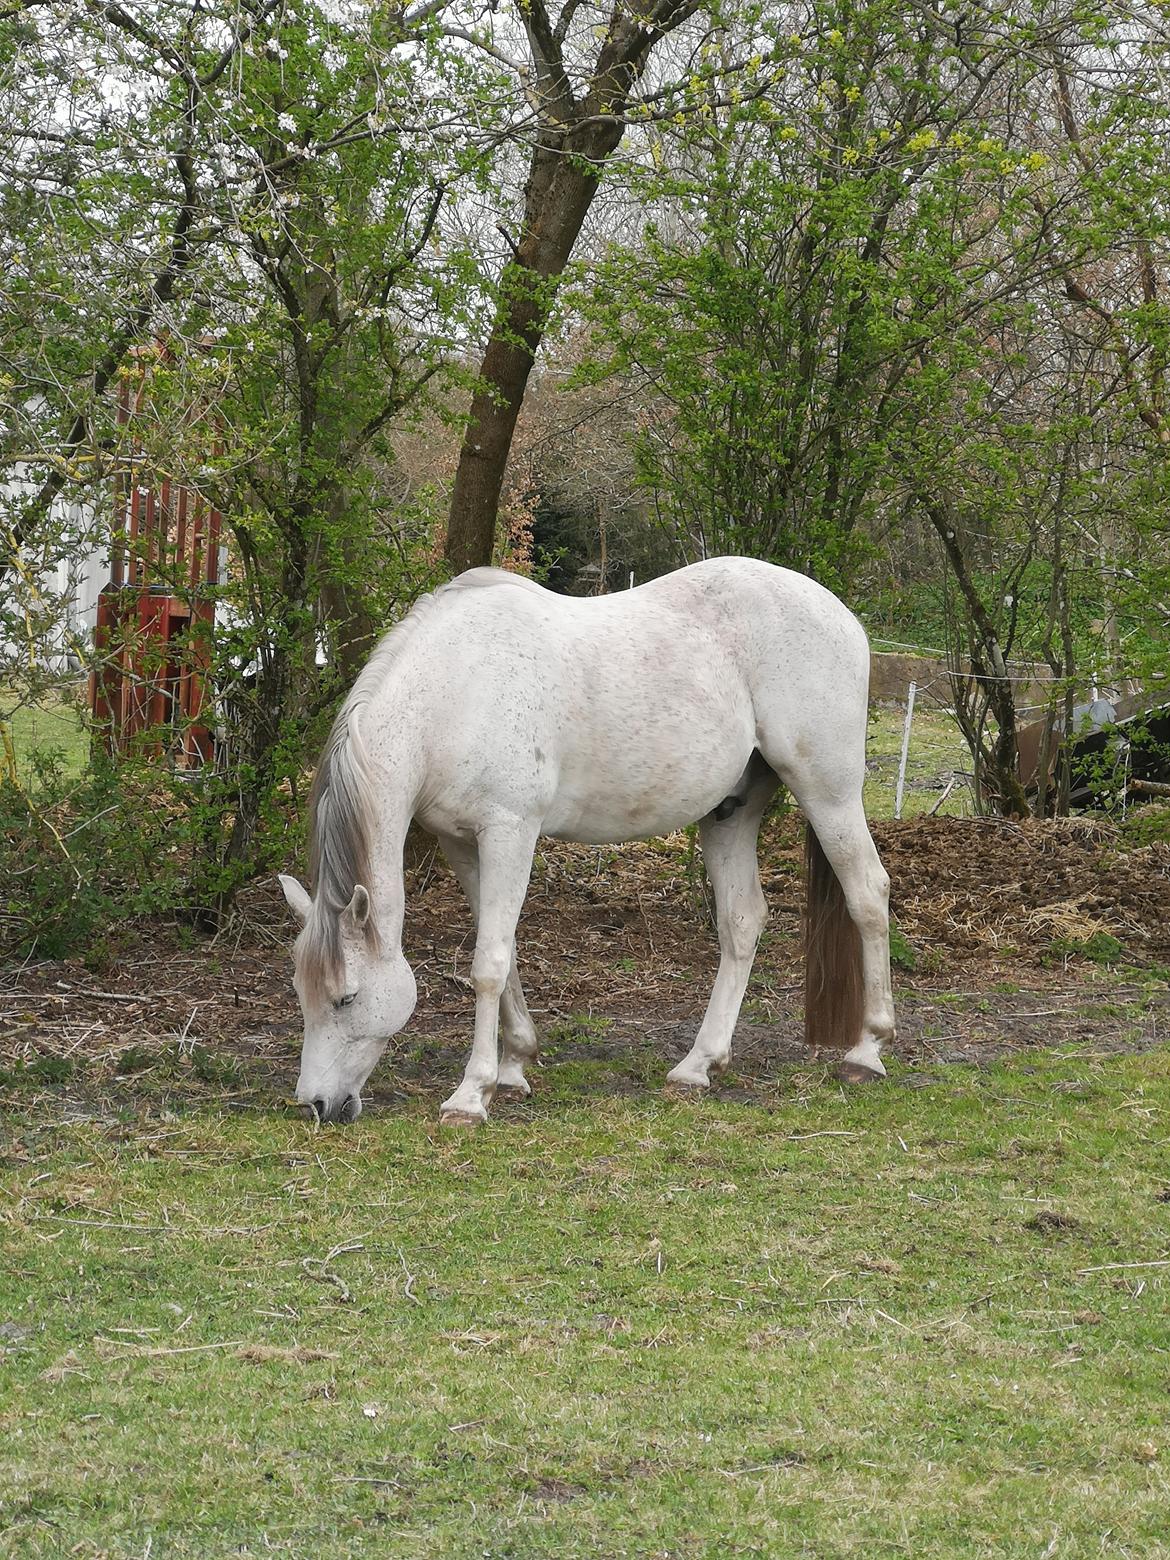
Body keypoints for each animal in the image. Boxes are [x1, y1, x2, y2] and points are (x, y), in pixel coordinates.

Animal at [282, 558, 898, 1123]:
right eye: (301, 993)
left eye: (346, 997)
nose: (317, 1104)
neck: (455, 693)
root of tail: (843, 616)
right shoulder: (463, 843)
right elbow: (502, 951)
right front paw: (515, 1066)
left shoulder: (509, 832)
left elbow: (489, 964)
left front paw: (472, 1094)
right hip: (731, 813)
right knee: (743, 921)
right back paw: (698, 1065)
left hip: (829, 794)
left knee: (868, 895)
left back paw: (867, 1052)